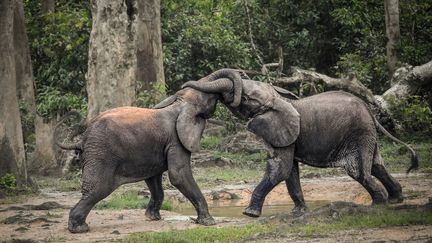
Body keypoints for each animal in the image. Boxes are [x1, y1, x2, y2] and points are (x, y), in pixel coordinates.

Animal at [54, 87, 223, 234]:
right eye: (209, 100)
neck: (179, 104)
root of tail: (82, 138)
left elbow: (154, 178)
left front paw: (153, 218)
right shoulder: (176, 140)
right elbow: (178, 175)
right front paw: (209, 222)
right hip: (101, 155)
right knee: (98, 188)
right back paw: (79, 229)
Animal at [182, 69, 418, 218]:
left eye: (247, 98)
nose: (183, 86)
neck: (280, 99)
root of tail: (371, 112)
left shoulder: (281, 132)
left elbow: (280, 168)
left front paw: (249, 214)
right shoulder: (287, 136)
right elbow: (290, 172)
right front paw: (298, 213)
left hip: (358, 133)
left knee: (359, 171)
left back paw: (378, 205)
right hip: (366, 134)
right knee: (377, 166)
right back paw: (396, 199)